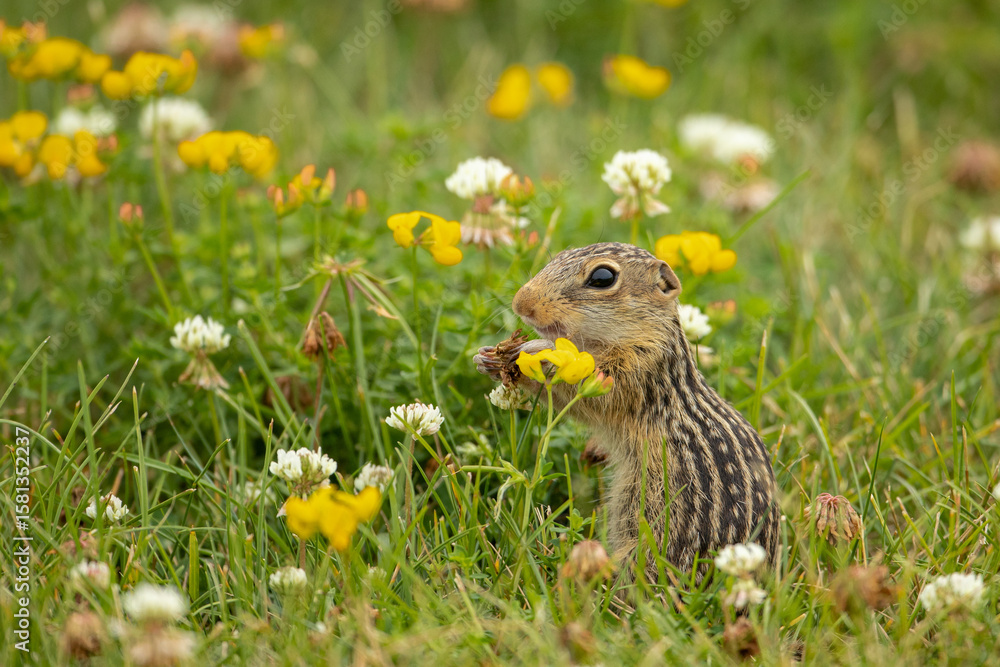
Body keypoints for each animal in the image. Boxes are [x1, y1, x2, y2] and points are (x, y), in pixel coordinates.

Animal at [475, 242, 780, 583]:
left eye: (603, 277)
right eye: (559, 256)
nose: (521, 303)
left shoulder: (634, 373)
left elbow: (587, 395)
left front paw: (529, 352)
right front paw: (488, 357)